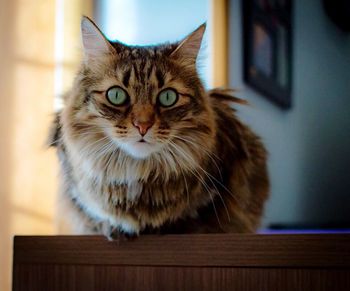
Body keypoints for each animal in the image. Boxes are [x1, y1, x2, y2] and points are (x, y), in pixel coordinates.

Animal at [48, 16, 268, 240]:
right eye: (116, 95)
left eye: (168, 97)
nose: (143, 125)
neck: (137, 173)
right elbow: (96, 219)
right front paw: (113, 230)